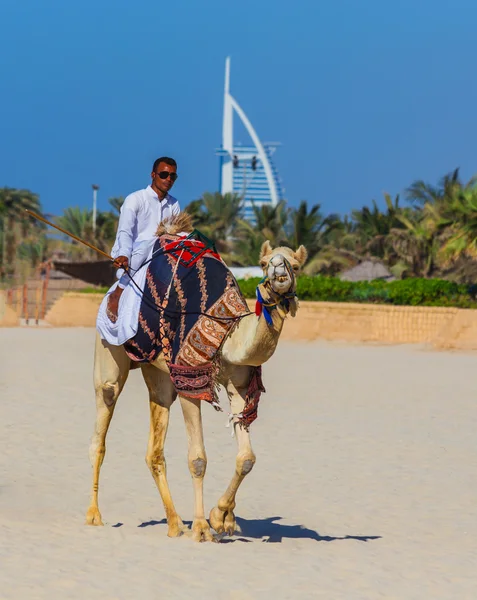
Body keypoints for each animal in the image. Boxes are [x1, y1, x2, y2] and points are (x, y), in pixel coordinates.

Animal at [85, 218, 308, 540]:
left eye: (296, 265)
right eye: (264, 262)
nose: (279, 272)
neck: (227, 329)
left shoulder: (239, 386)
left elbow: (247, 458)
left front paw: (222, 517)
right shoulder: (190, 380)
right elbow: (198, 458)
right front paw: (203, 527)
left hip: (158, 373)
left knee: (154, 447)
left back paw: (175, 523)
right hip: (108, 352)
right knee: (102, 424)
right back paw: (94, 515)